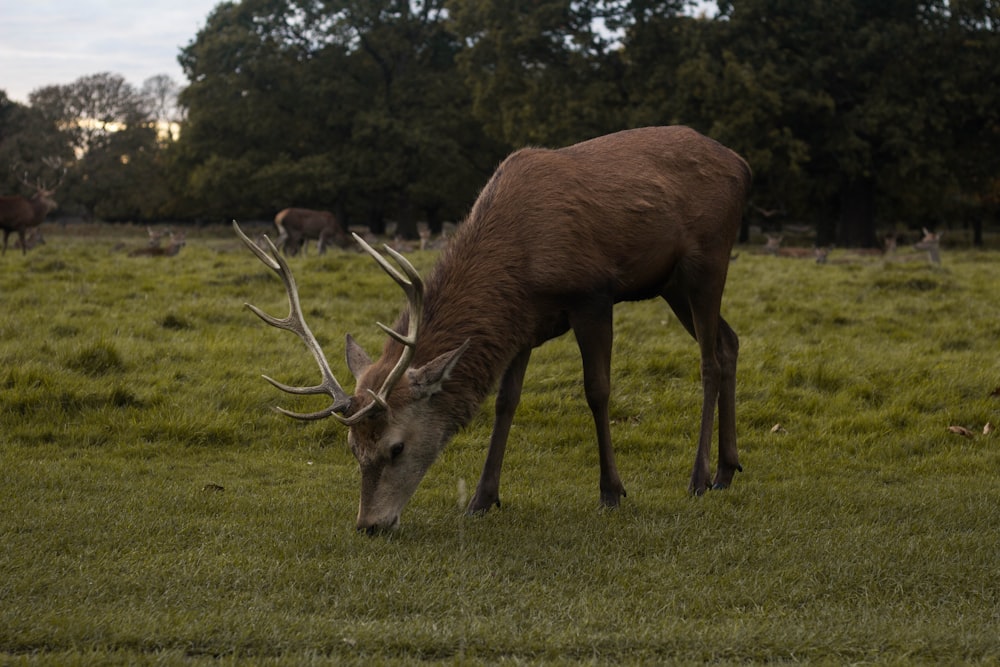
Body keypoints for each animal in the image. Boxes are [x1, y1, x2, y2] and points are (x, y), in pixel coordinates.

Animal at [234, 125, 752, 536]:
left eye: (396, 447)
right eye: (351, 446)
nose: (369, 525)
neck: (520, 263)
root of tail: (742, 164)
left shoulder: (593, 295)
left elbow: (597, 390)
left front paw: (612, 491)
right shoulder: (522, 321)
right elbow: (506, 401)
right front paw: (483, 498)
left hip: (709, 258)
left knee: (708, 358)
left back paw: (699, 476)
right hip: (671, 284)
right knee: (729, 342)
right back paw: (728, 469)